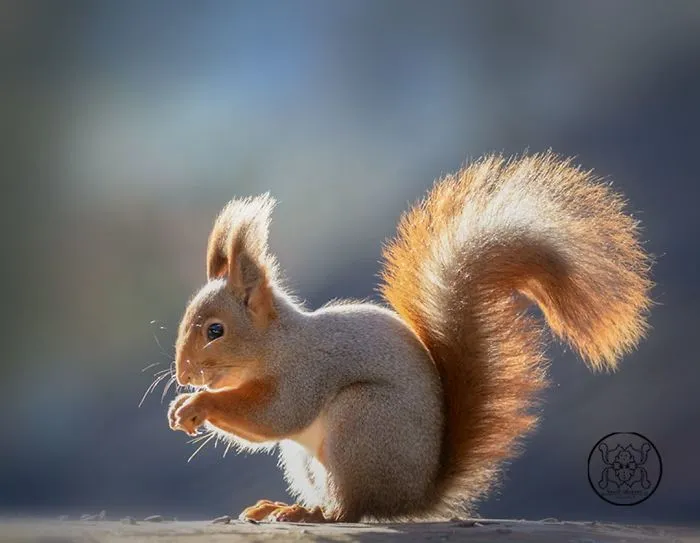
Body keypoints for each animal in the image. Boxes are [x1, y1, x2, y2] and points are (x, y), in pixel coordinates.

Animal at [167, 151, 653, 523]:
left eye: (215, 331)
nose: (183, 374)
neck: (277, 344)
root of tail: (414, 497)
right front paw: (180, 407)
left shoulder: (308, 372)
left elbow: (274, 416)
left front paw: (196, 405)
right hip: (310, 458)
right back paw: (283, 507)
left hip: (360, 424)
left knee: (351, 509)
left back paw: (309, 514)